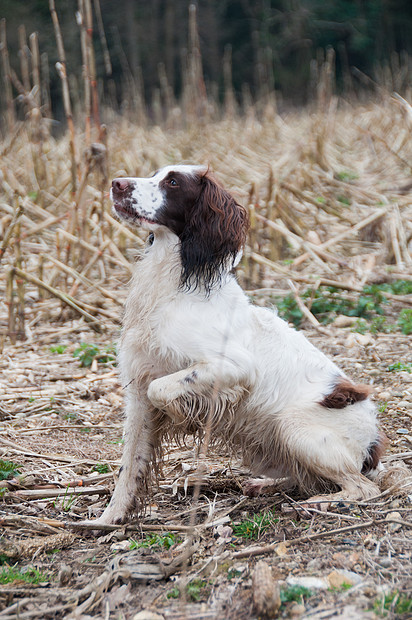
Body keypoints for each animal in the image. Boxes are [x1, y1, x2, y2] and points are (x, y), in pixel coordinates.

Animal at [88, 165, 384, 528]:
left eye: (173, 181)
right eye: (156, 174)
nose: (116, 183)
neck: (174, 285)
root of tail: (373, 444)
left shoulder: (234, 366)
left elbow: (163, 389)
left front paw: (188, 416)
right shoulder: (137, 390)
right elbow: (129, 465)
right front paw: (108, 518)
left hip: (293, 427)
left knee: (363, 488)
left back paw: (318, 505)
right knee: (305, 477)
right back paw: (268, 486)